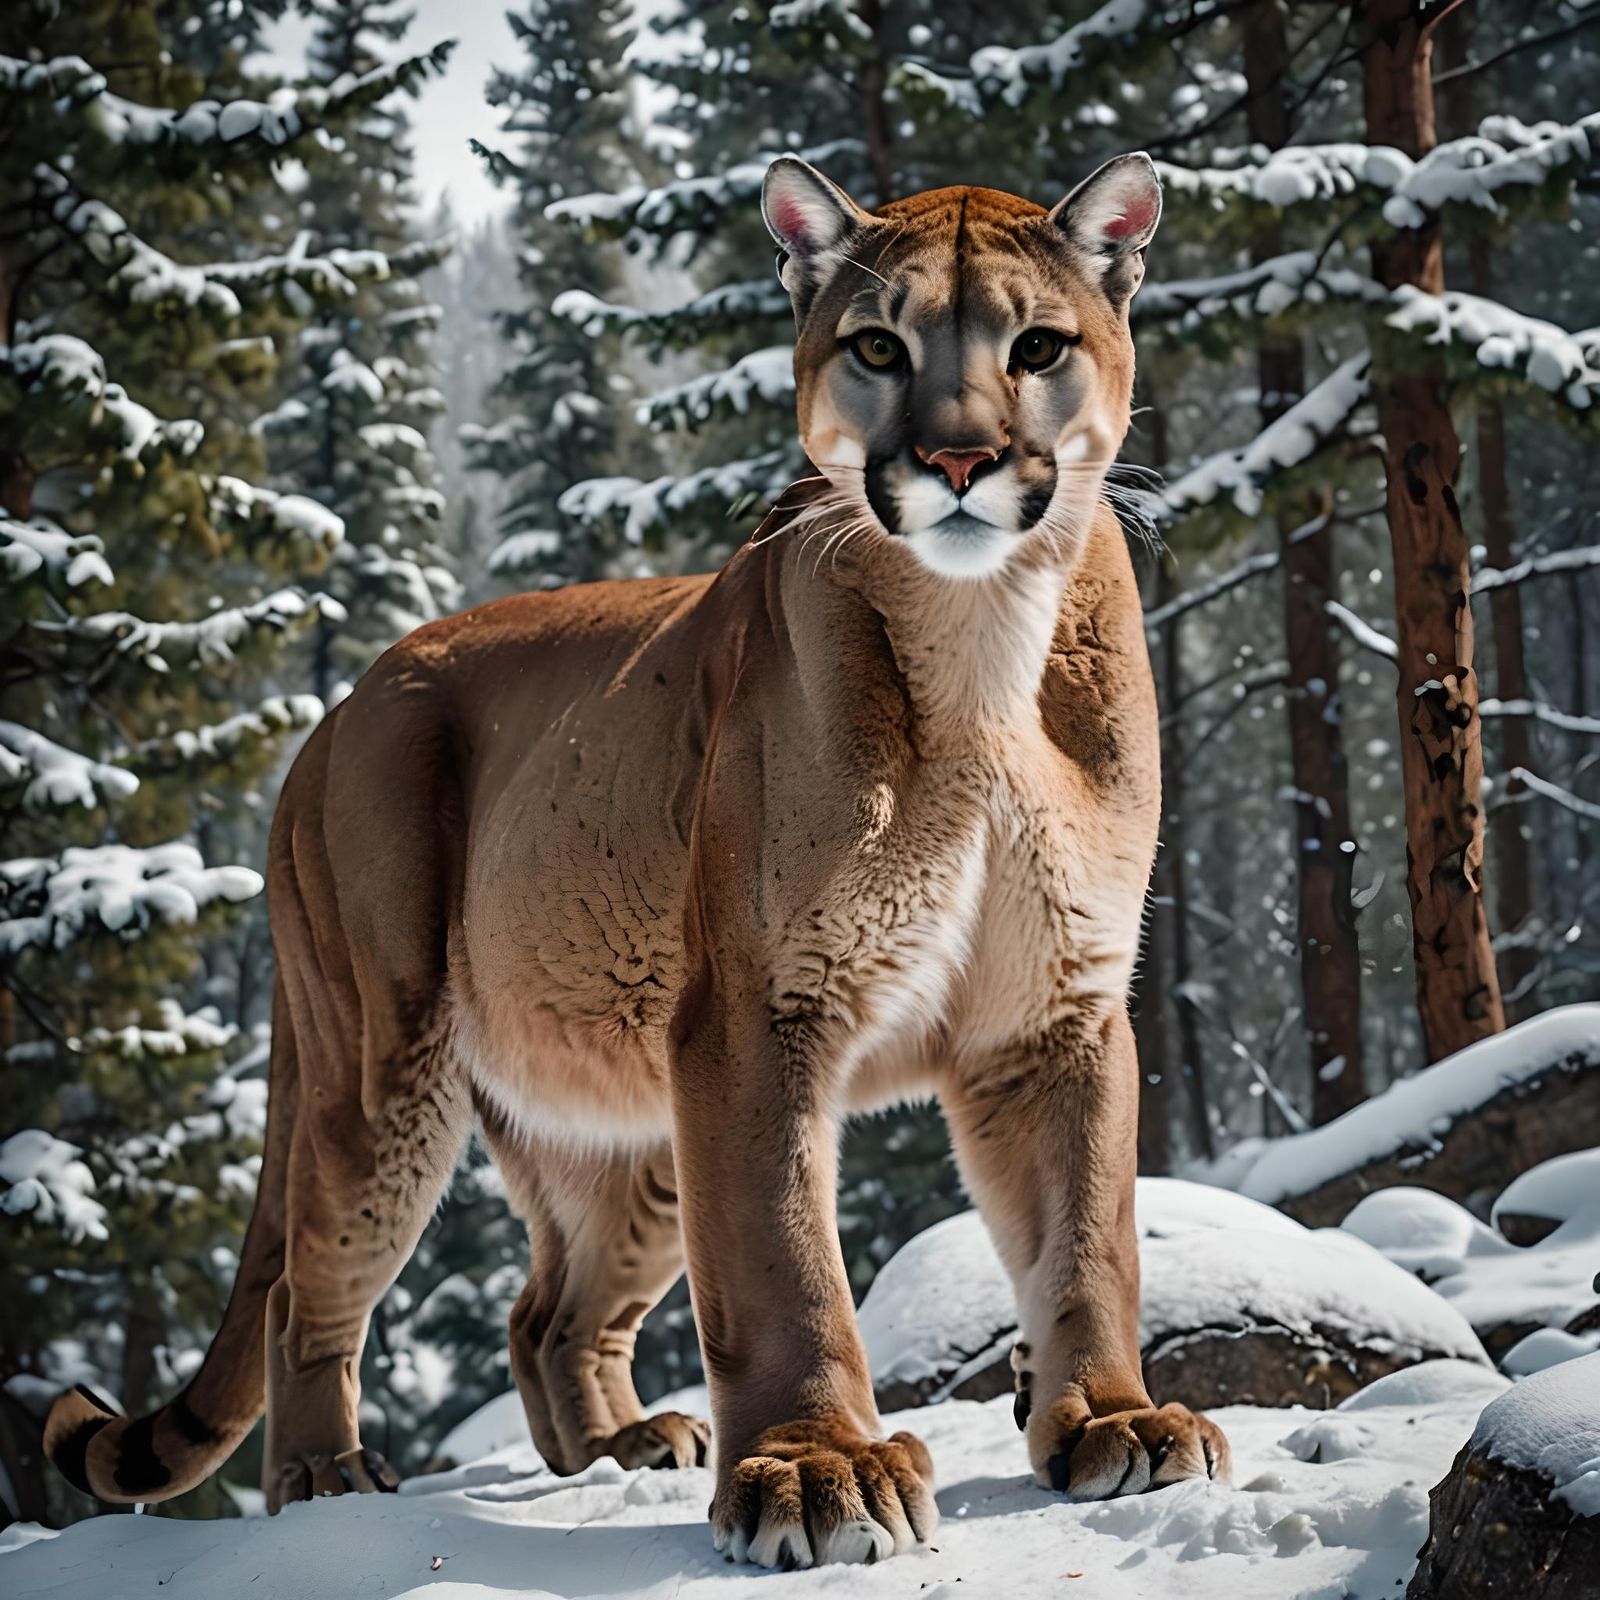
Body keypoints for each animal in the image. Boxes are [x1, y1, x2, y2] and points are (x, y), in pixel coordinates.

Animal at [46, 151, 1230, 1567]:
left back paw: (619, 1444)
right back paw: (327, 1479)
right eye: (878, 345)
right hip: (385, 1062)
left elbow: (1087, 1235)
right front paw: (816, 1467)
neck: (979, 631)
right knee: (308, 1293)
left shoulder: (1054, 1004)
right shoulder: (759, 1010)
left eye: (1038, 345)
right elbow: (781, 1257)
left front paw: (1113, 1418)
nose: (958, 457)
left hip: (630, 1116)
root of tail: (340, 708)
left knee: (548, 1311)